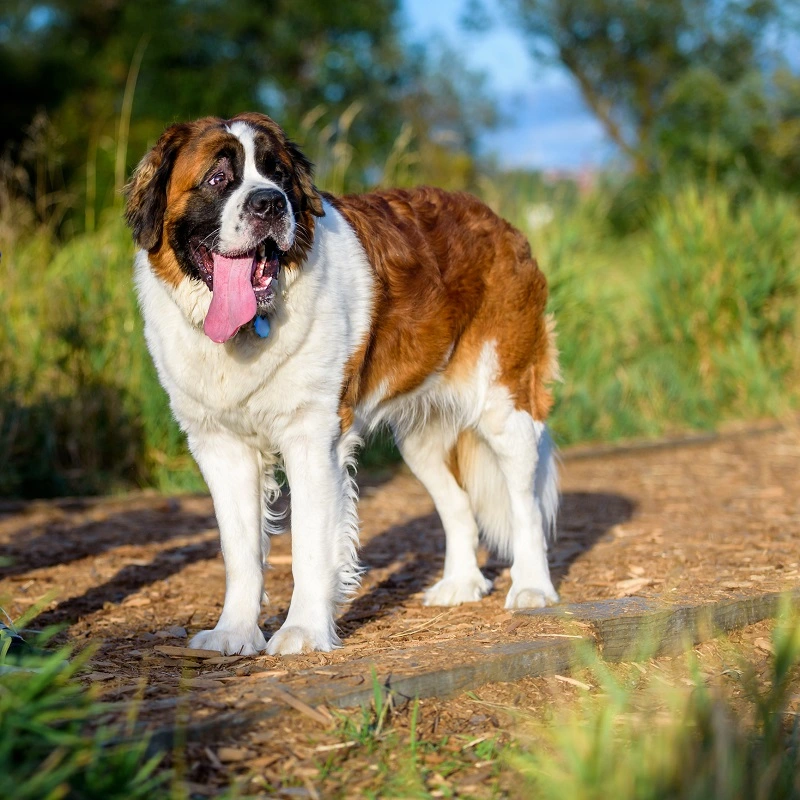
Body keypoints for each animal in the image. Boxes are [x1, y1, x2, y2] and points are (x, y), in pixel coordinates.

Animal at [126, 112, 564, 656]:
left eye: (279, 174)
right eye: (216, 178)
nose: (270, 202)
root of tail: (500, 224)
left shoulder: (312, 439)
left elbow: (310, 544)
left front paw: (302, 631)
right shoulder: (220, 446)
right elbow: (240, 549)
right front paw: (234, 632)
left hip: (505, 406)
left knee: (525, 502)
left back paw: (532, 587)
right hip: (421, 439)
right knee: (457, 503)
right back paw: (460, 583)